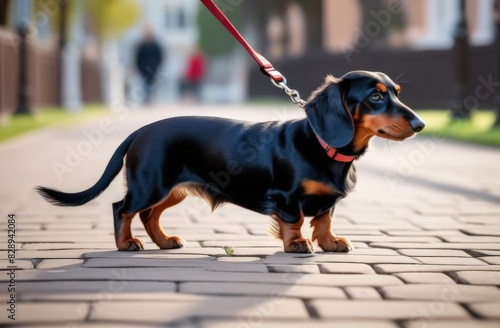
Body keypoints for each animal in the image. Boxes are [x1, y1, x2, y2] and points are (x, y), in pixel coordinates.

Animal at [37, 70, 424, 254]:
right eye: (375, 97)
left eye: (396, 94)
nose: (421, 124)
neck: (325, 146)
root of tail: (139, 131)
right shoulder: (287, 197)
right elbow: (296, 221)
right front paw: (298, 244)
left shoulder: (327, 201)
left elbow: (325, 220)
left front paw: (331, 243)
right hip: (151, 184)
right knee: (123, 209)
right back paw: (125, 244)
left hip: (172, 190)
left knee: (149, 216)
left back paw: (165, 242)